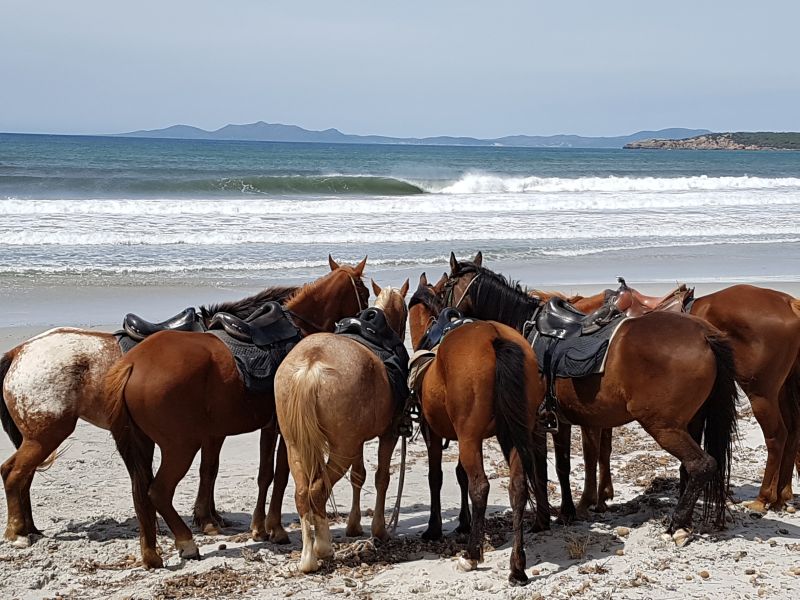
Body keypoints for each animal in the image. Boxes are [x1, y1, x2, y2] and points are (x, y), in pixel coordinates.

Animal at [0, 284, 296, 548]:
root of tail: (20, 351)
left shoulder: (213, 431)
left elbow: (210, 470)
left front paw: (211, 517)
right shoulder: (215, 432)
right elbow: (210, 471)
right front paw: (208, 520)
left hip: (38, 438)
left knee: (22, 475)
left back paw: (29, 528)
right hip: (46, 435)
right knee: (15, 473)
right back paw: (18, 533)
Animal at [104, 256, 370, 568]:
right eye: (364, 292)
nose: (365, 319)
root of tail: (132, 364)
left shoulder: (267, 427)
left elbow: (265, 474)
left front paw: (260, 527)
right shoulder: (282, 429)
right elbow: (279, 476)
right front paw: (275, 529)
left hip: (144, 444)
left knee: (141, 494)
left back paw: (151, 553)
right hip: (181, 446)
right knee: (158, 492)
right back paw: (187, 542)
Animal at [276, 278, 412, 576]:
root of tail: (311, 365)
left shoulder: (358, 440)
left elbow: (359, 476)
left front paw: (353, 525)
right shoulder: (387, 434)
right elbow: (381, 478)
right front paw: (378, 529)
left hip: (296, 446)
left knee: (303, 494)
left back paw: (308, 556)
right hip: (342, 450)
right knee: (317, 491)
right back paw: (323, 548)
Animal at [406, 274, 552, 584]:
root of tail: (495, 338)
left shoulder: (434, 434)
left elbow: (437, 478)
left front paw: (435, 527)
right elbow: (460, 475)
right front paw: (463, 522)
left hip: (471, 438)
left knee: (481, 487)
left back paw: (472, 555)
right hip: (512, 433)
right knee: (518, 488)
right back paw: (517, 566)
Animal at [444, 253, 736, 540]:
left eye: (445, 286)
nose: (441, 319)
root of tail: (704, 335)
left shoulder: (537, 424)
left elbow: (540, 470)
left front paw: (543, 520)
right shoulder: (560, 420)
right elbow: (562, 465)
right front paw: (567, 512)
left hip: (663, 426)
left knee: (701, 464)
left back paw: (677, 523)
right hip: (692, 422)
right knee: (690, 467)